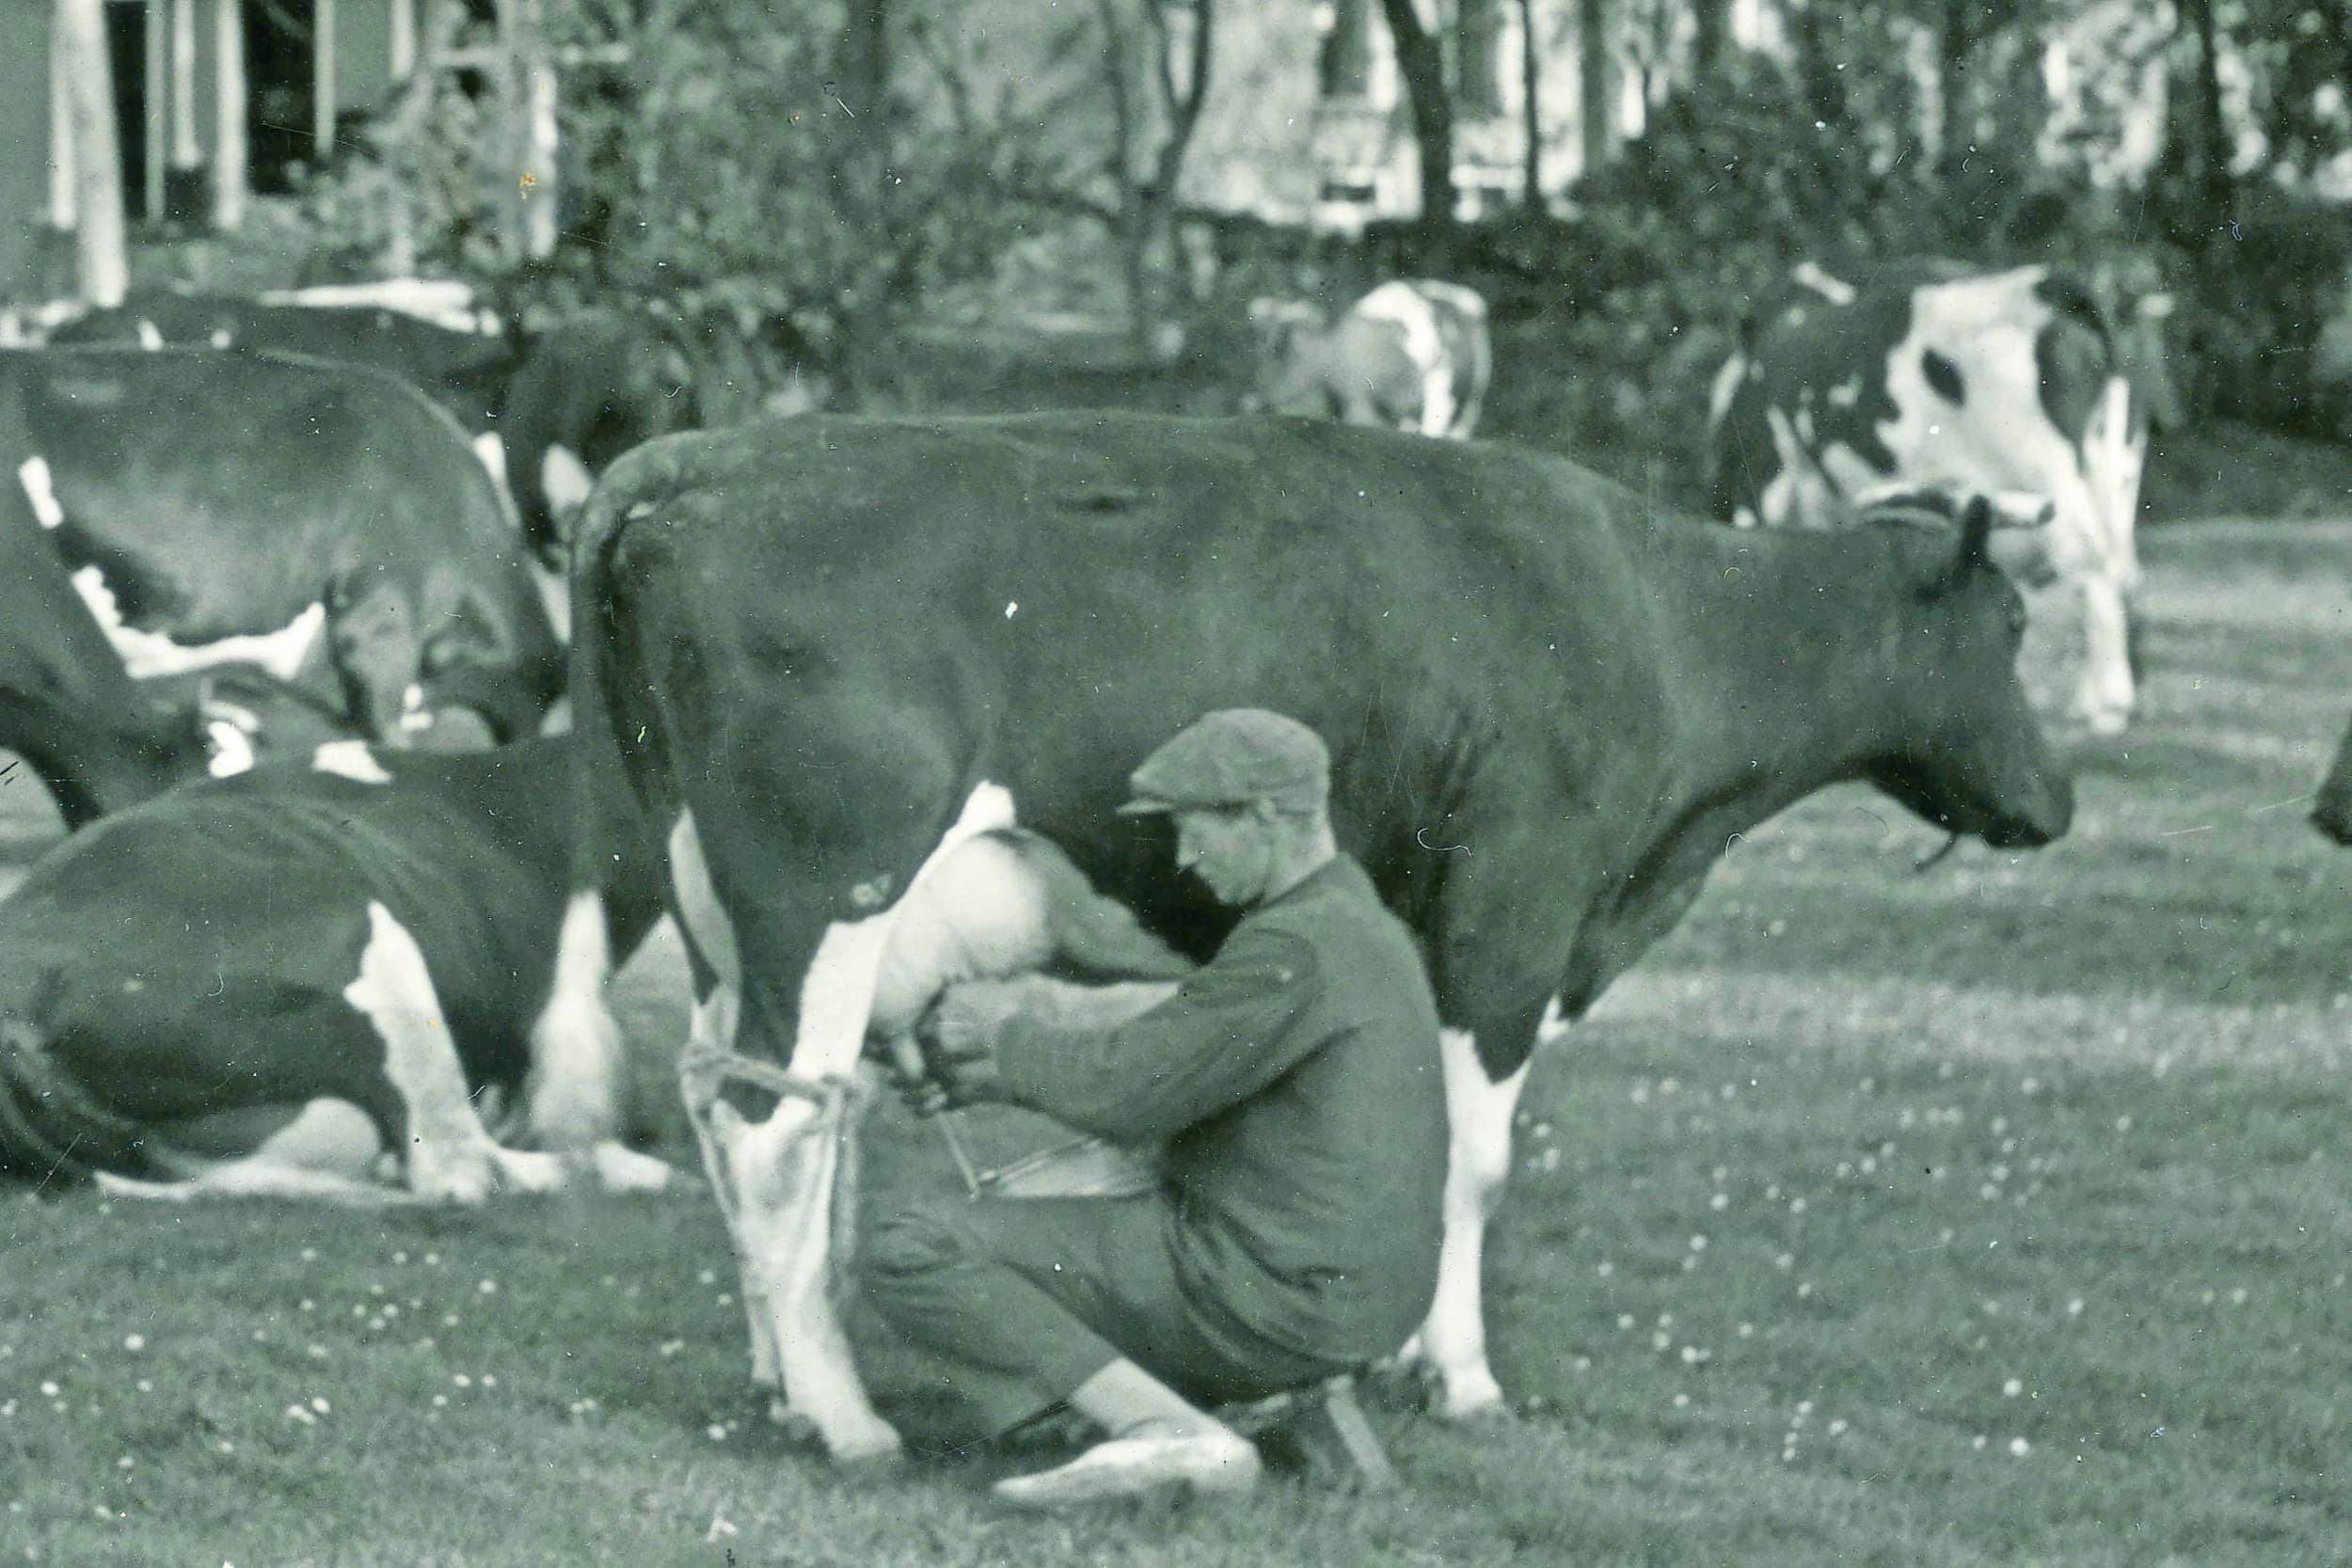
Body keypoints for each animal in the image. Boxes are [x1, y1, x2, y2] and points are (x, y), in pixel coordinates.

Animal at [557, 410, 2075, 1461]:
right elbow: (1474, 1160)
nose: (2059, 802)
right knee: (777, 1129)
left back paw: (780, 1377)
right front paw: (1459, 1377)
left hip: (722, 916)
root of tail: (703, 458)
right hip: (826, 890)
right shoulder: (1512, 916)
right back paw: (846, 1416)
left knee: (731, 1104)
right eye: (2010, 620)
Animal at [1248, 280, 1492, 440]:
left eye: (1274, 354)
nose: (1262, 402)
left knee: (1443, 409)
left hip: (1441, 377)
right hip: (1473, 382)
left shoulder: (1358, 395)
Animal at [1708, 260, 2173, 736]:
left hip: (2046, 470)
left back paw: (2108, 707)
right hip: (2116, 468)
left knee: (2090, 563)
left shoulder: (1762, 488)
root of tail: (2054, 285)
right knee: (2122, 569)